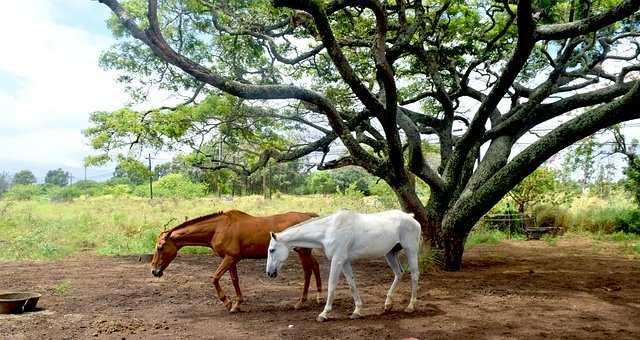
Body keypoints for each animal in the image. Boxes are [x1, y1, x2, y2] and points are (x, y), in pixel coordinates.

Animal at [149, 210, 320, 314]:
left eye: (160, 247)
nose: (154, 271)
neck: (218, 228)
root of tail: (309, 216)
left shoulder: (230, 258)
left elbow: (215, 278)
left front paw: (227, 302)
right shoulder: (231, 259)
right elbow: (234, 280)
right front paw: (237, 304)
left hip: (302, 252)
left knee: (308, 271)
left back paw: (301, 302)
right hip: (306, 252)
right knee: (316, 266)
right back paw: (318, 297)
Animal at [264, 209, 420, 322]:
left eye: (272, 250)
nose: (270, 273)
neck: (328, 230)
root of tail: (410, 217)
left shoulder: (337, 260)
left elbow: (332, 285)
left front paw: (324, 314)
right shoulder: (344, 262)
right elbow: (352, 284)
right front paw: (357, 311)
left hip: (411, 250)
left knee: (414, 275)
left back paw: (411, 306)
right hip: (390, 254)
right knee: (399, 273)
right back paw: (388, 304)